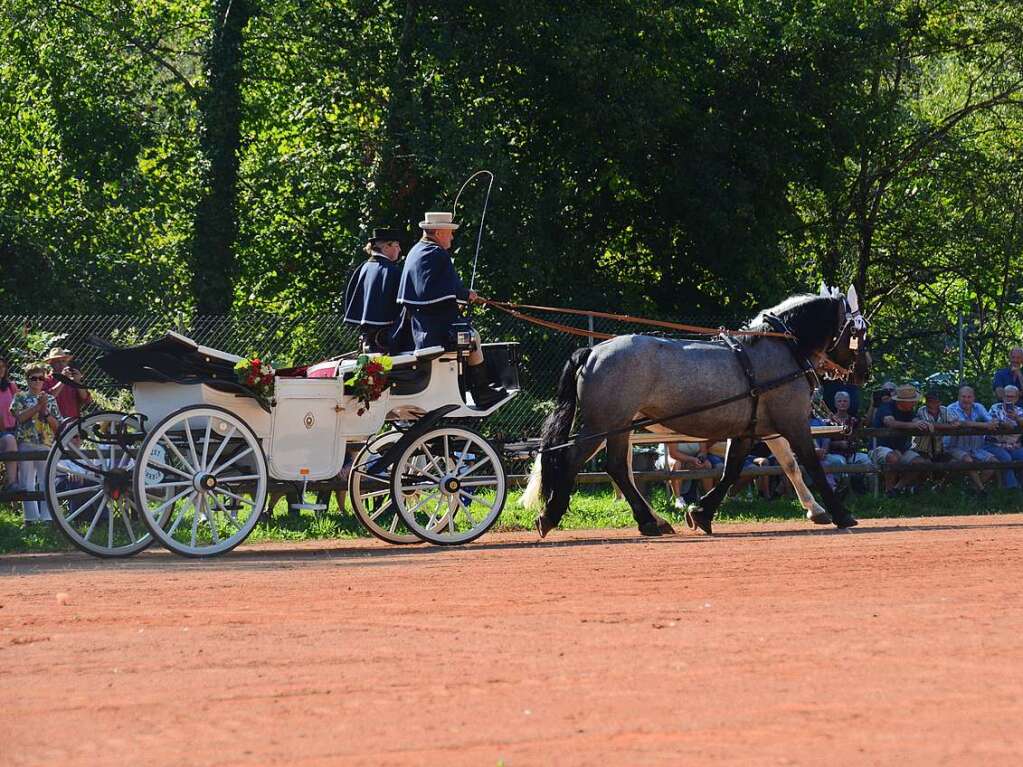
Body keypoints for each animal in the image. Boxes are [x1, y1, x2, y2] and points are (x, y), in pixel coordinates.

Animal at [527, 286, 871, 535]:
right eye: (859, 332)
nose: (864, 372)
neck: (781, 348)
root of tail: (592, 351)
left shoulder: (750, 430)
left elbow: (735, 470)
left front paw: (702, 513)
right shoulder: (793, 423)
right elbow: (810, 465)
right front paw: (840, 514)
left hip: (618, 427)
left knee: (617, 468)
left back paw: (651, 521)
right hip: (603, 424)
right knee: (576, 460)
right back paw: (552, 515)